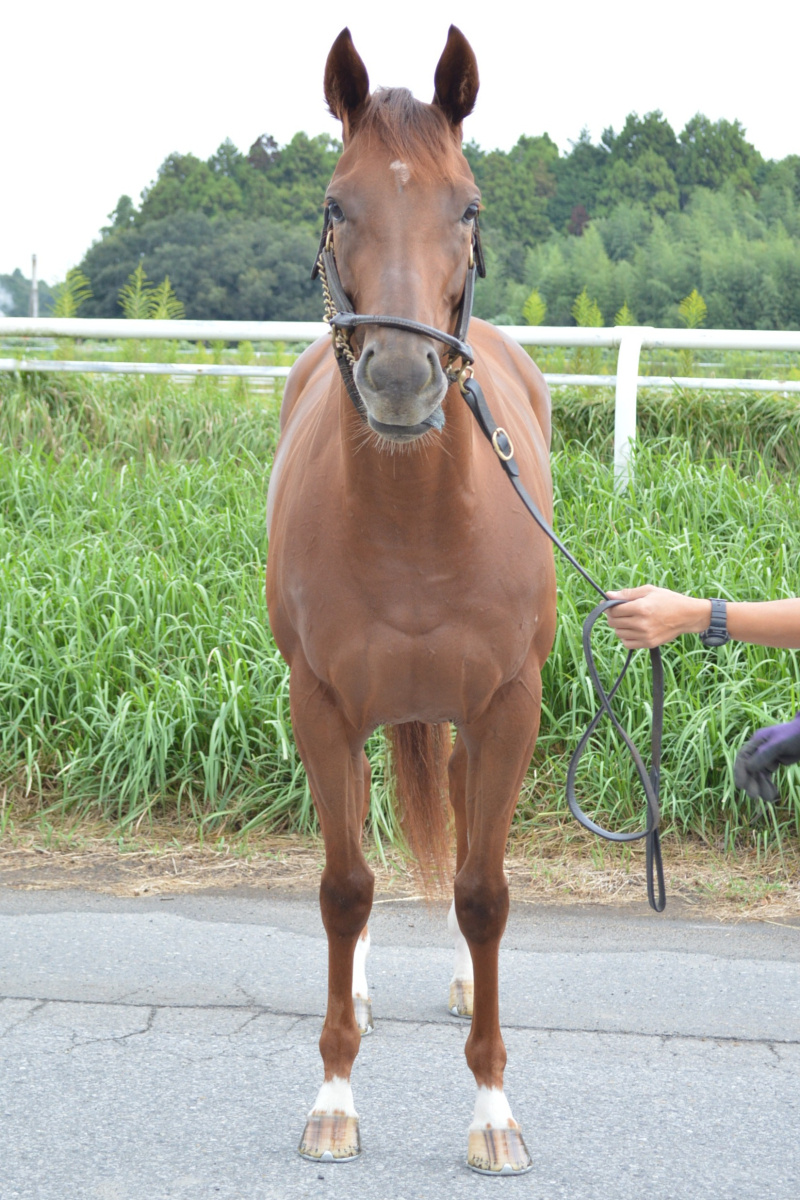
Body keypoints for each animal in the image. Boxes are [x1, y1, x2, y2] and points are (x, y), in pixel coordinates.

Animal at [266, 24, 556, 1176]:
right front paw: (333, 1096)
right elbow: (345, 886)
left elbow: (483, 891)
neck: (415, 531)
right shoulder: (320, 706)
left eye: (466, 206)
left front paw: (493, 1112)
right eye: (337, 204)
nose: (399, 378)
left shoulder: (508, 707)